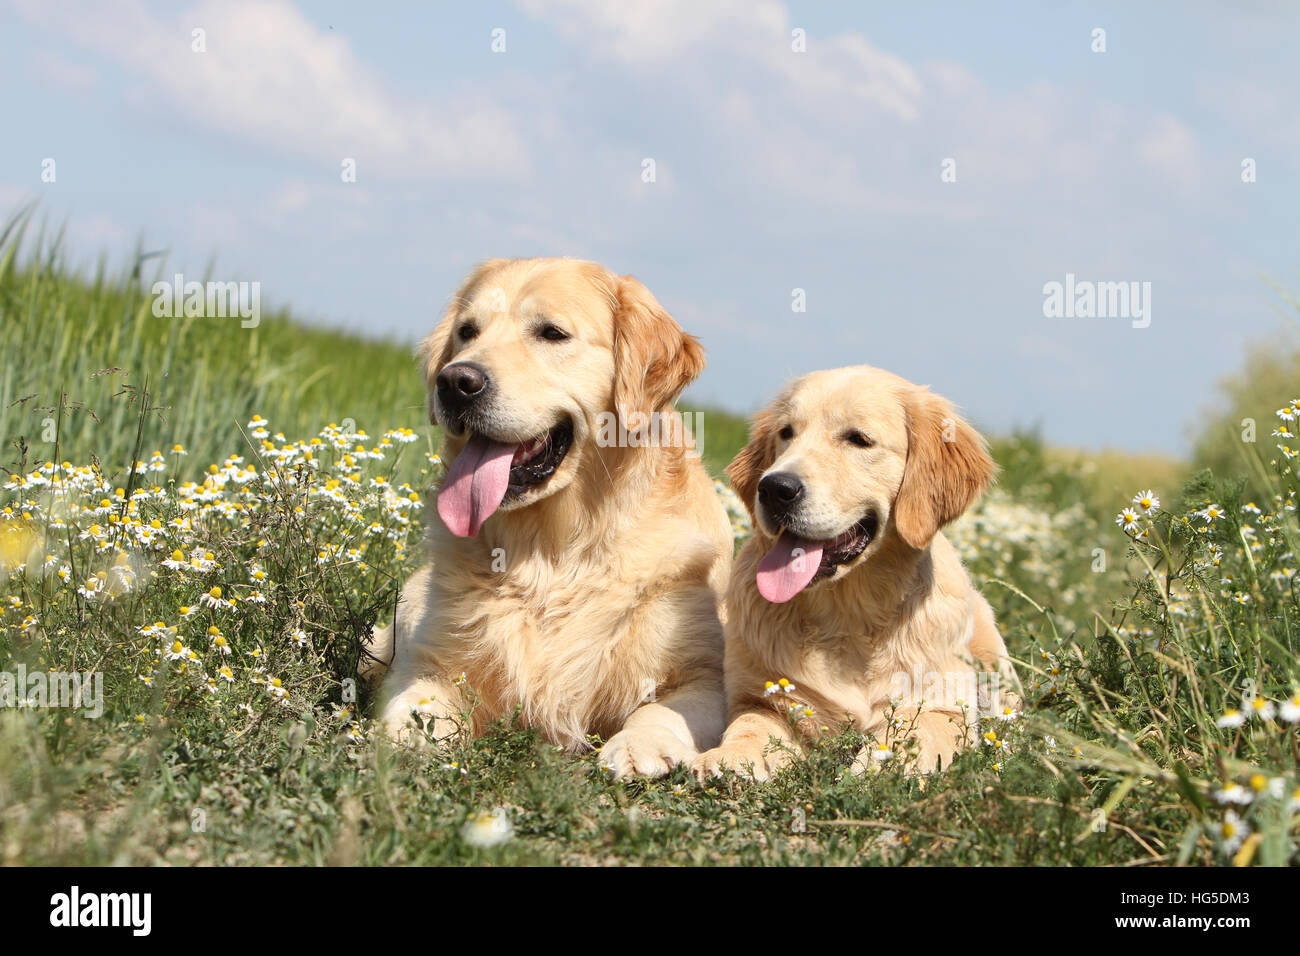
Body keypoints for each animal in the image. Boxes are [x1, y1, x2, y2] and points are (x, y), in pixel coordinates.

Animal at [369, 257, 733, 780]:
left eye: (552, 333)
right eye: (467, 331)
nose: (455, 382)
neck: (554, 552)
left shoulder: (705, 673)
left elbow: (663, 709)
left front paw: (639, 746)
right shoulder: (430, 661)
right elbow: (414, 702)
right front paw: (398, 739)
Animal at [696, 361, 1019, 780]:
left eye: (859, 439)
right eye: (786, 433)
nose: (774, 488)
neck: (848, 615)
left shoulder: (943, 706)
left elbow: (916, 734)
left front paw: (878, 764)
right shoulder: (763, 698)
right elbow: (751, 725)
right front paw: (729, 758)